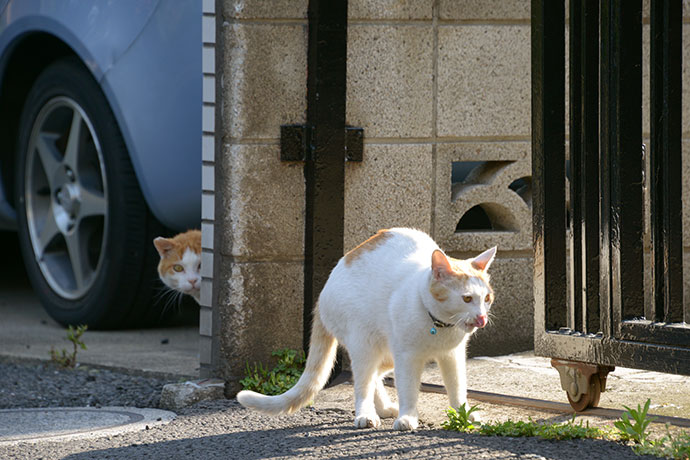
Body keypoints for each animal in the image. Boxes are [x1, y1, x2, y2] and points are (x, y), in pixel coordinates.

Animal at [238, 228, 494, 430]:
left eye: (487, 298)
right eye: (467, 298)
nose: (482, 318)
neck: (439, 325)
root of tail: (322, 295)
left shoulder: (452, 356)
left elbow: (457, 388)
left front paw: (464, 415)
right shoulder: (407, 357)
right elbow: (408, 389)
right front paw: (408, 417)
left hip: (385, 352)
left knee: (374, 377)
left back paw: (383, 407)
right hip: (365, 344)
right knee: (362, 382)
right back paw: (366, 414)